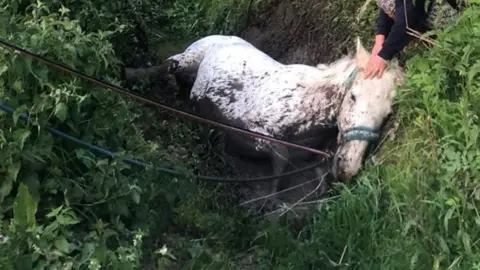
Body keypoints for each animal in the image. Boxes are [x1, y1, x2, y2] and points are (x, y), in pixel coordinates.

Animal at [124, 34, 404, 206]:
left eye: (386, 115)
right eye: (354, 97)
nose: (348, 167)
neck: (305, 101)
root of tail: (222, 37)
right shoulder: (255, 131)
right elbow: (281, 158)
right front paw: (269, 200)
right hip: (187, 59)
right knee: (165, 66)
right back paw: (131, 73)